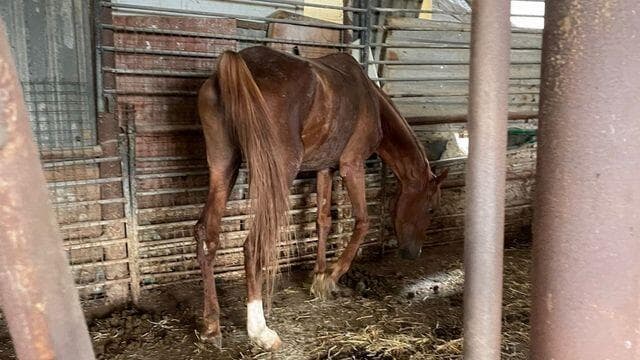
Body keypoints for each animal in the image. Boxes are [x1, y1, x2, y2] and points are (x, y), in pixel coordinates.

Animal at [192, 45, 448, 352]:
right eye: (431, 209)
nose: (414, 253)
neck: (371, 99)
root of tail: (240, 61)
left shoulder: (325, 168)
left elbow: (323, 221)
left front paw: (318, 276)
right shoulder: (352, 165)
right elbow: (362, 221)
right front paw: (332, 278)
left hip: (223, 165)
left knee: (207, 234)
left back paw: (211, 326)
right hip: (278, 173)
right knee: (253, 245)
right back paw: (260, 331)